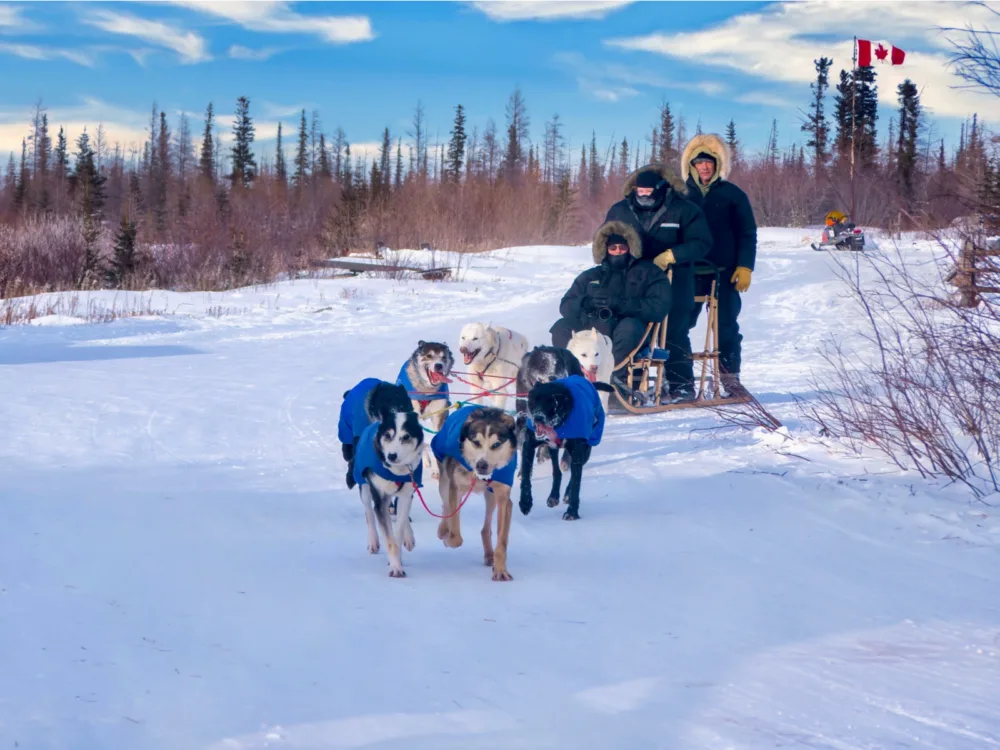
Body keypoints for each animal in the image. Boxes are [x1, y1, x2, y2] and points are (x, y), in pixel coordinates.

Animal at [396, 340, 456, 478]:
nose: (439, 365)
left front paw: (436, 470)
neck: (426, 390)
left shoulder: (438, 416)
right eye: (429, 356)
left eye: (443, 357)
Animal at [430, 406, 520, 580]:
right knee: (446, 505)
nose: (482, 465)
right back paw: (443, 531)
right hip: (445, 481)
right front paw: (448, 539)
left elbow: (502, 541)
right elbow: (456, 536)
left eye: (496, 444)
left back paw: (489, 555)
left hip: (491, 496)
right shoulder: (456, 488)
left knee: (485, 528)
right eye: (476, 442)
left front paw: (500, 570)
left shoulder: (503, 496)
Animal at [520, 376, 612, 524]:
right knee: (557, 471)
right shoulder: (529, 445)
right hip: (553, 449)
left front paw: (572, 512)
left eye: (551, 402)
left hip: (585, 452)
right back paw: (553, 496)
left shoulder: (577, 452)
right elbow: (526, 476)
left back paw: (566, 496)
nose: (538, 418)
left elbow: (576, 483)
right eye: (534, 399)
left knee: (573, 475)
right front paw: (525, 502)